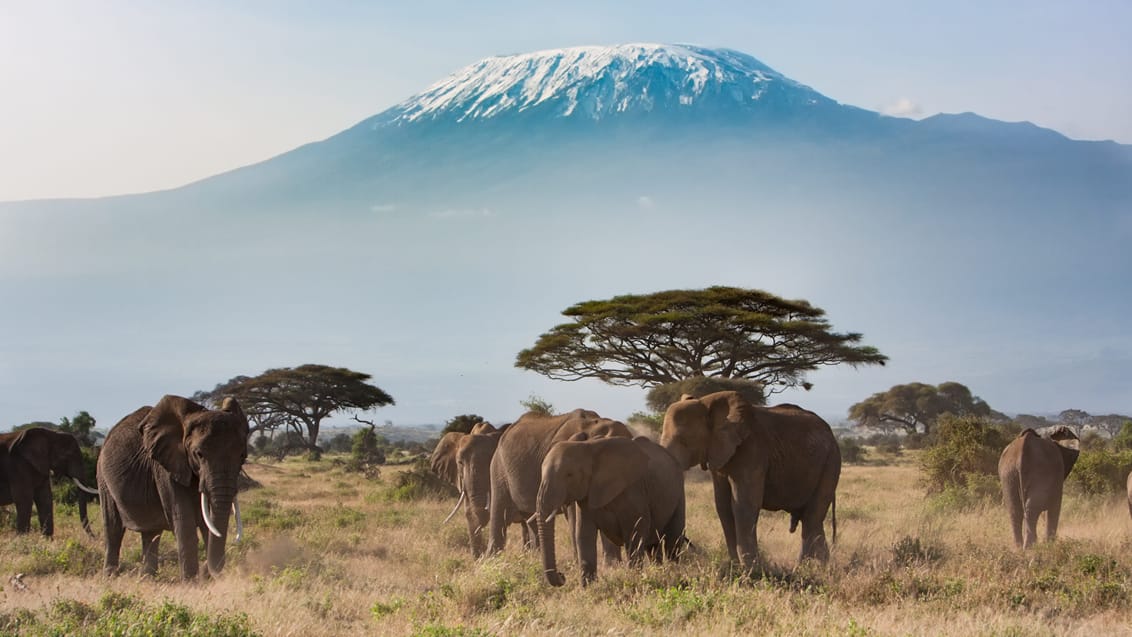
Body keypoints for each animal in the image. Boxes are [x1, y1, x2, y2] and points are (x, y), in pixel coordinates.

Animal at [97, 396, 250, 579]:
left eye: (242, 456)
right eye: (199, 454)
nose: (206, 572)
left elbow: (207, 524)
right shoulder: (166, 468)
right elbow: (184, 522)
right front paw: (191, 582)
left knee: (151, 532)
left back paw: (147, 578)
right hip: (103, 478)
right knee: (113, 528)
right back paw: (110, 576)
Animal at [534, 434, 683, 588]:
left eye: (569, 475)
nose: (562, 575)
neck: (587, 448)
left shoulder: (634, 490)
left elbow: (635, 533)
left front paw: (634, 579)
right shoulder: (586, 496)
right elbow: (584, 534)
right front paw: (588, 588)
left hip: (678, 490)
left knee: (673, 540)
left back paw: (675, 571)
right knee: (653, 546)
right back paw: (660, 571)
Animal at [656, 393, 842, 567]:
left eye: (683, 440)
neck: (707, 402)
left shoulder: (752, 450)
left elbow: (744, 505)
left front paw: (752, 569)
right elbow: (723, 506)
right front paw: (736, 566)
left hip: (830, 462)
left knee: (812, 518)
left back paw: (811, 567)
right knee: (810, 518)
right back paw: (815, 566)